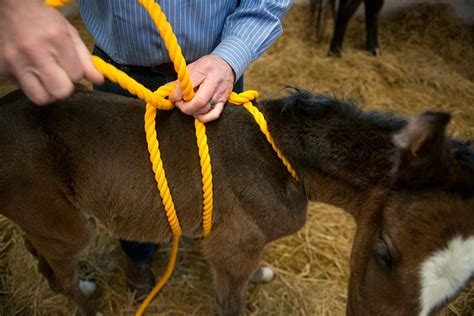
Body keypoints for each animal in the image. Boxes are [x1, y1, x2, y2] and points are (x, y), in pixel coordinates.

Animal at [0, 85, 472, 314]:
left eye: (465, 286)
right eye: (385, 252)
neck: (280, 159)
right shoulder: (233, 249)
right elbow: (231, 303)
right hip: (65, 225)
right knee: (60, 273)